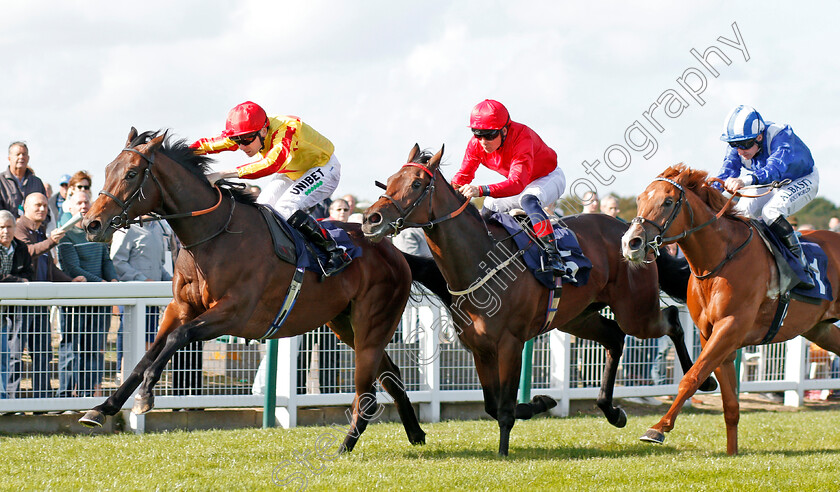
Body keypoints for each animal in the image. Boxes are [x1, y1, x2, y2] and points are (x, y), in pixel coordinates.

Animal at [79, 128, 426, 454]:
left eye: (131, 173)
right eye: (108, 169)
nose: (91, 224)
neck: (214, 235)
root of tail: (395, 252)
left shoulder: (234, 313)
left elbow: (178, 338)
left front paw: (146, 395)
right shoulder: (180, 308)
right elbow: (147, 355)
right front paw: (102, 408)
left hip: (372, 322)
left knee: (368, 394)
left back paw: (346, 445)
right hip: (345, 324)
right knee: (391, 375)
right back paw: (416, 434)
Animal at [360, 146, 716, 458]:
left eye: (416, 184)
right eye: (389, 180)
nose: (371, 219)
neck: (480, 261)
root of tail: (635, 234)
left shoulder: (510, 343)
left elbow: (503, 408)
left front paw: (504, 451)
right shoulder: (479, 348)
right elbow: (492, 405)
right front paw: (541, 403)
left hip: (635, 310)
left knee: (670, 319)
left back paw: (704, 379)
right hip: (577, 317)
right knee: (615, 337)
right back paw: (613, 411)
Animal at [620, 164, 840, 454]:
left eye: (667, 201)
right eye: (639, 199)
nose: (631, 243)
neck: (719, 261)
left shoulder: (730, 327)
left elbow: (692, 377)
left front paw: (658, 428)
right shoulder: (711, 334)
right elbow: (730, 404)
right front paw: (732, 452)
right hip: (821, 330)